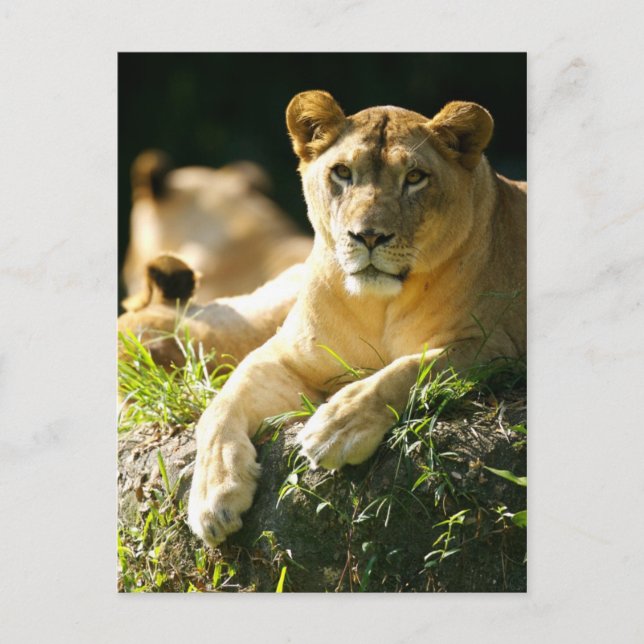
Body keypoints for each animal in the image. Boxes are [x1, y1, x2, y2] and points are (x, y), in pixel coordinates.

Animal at [187, 90, 526, 547]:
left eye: (415, 177)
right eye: (343, 172)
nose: (368, 236)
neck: (375, 306)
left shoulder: (493, 345)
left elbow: (405, 371)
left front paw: (336, 428)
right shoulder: (285, 354)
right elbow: (221, 405)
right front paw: (213, 495)